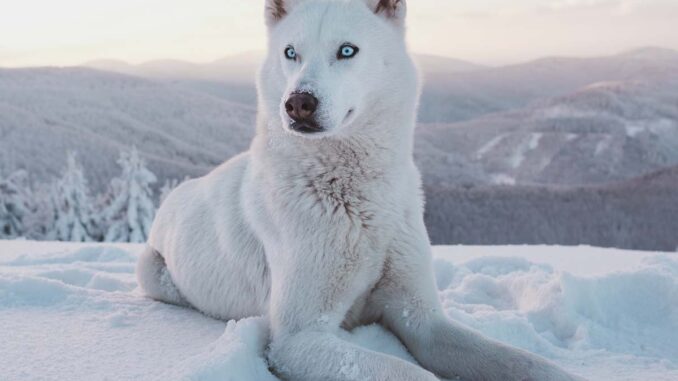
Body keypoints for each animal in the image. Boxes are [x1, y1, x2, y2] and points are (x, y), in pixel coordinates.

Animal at [137, 1, 584, 378]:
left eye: (347, 51)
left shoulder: (423, 320)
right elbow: (409, 373)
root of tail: (180, 191)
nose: (298, 103)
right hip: (152, 272)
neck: (358, 199)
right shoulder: (299, 338)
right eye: (290, 53)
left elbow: (521, 362)